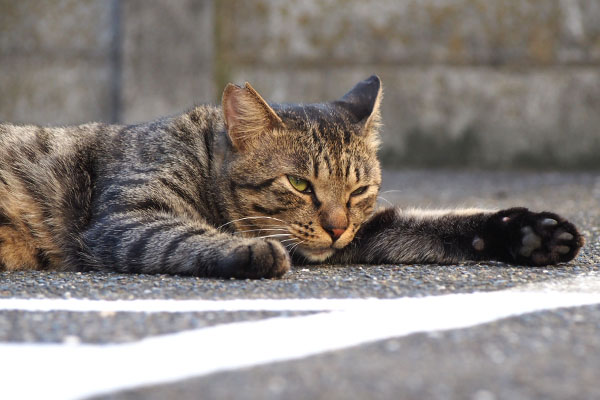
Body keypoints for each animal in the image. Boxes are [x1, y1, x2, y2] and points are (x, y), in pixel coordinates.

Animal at [0, 75, 584, 278]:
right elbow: (180, 237)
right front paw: (250, 251)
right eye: (299, 185)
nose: (335, 226)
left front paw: (531, 233)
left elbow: (443, 224)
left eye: (358, 190)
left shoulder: (364, 233)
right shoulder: (126, 219)